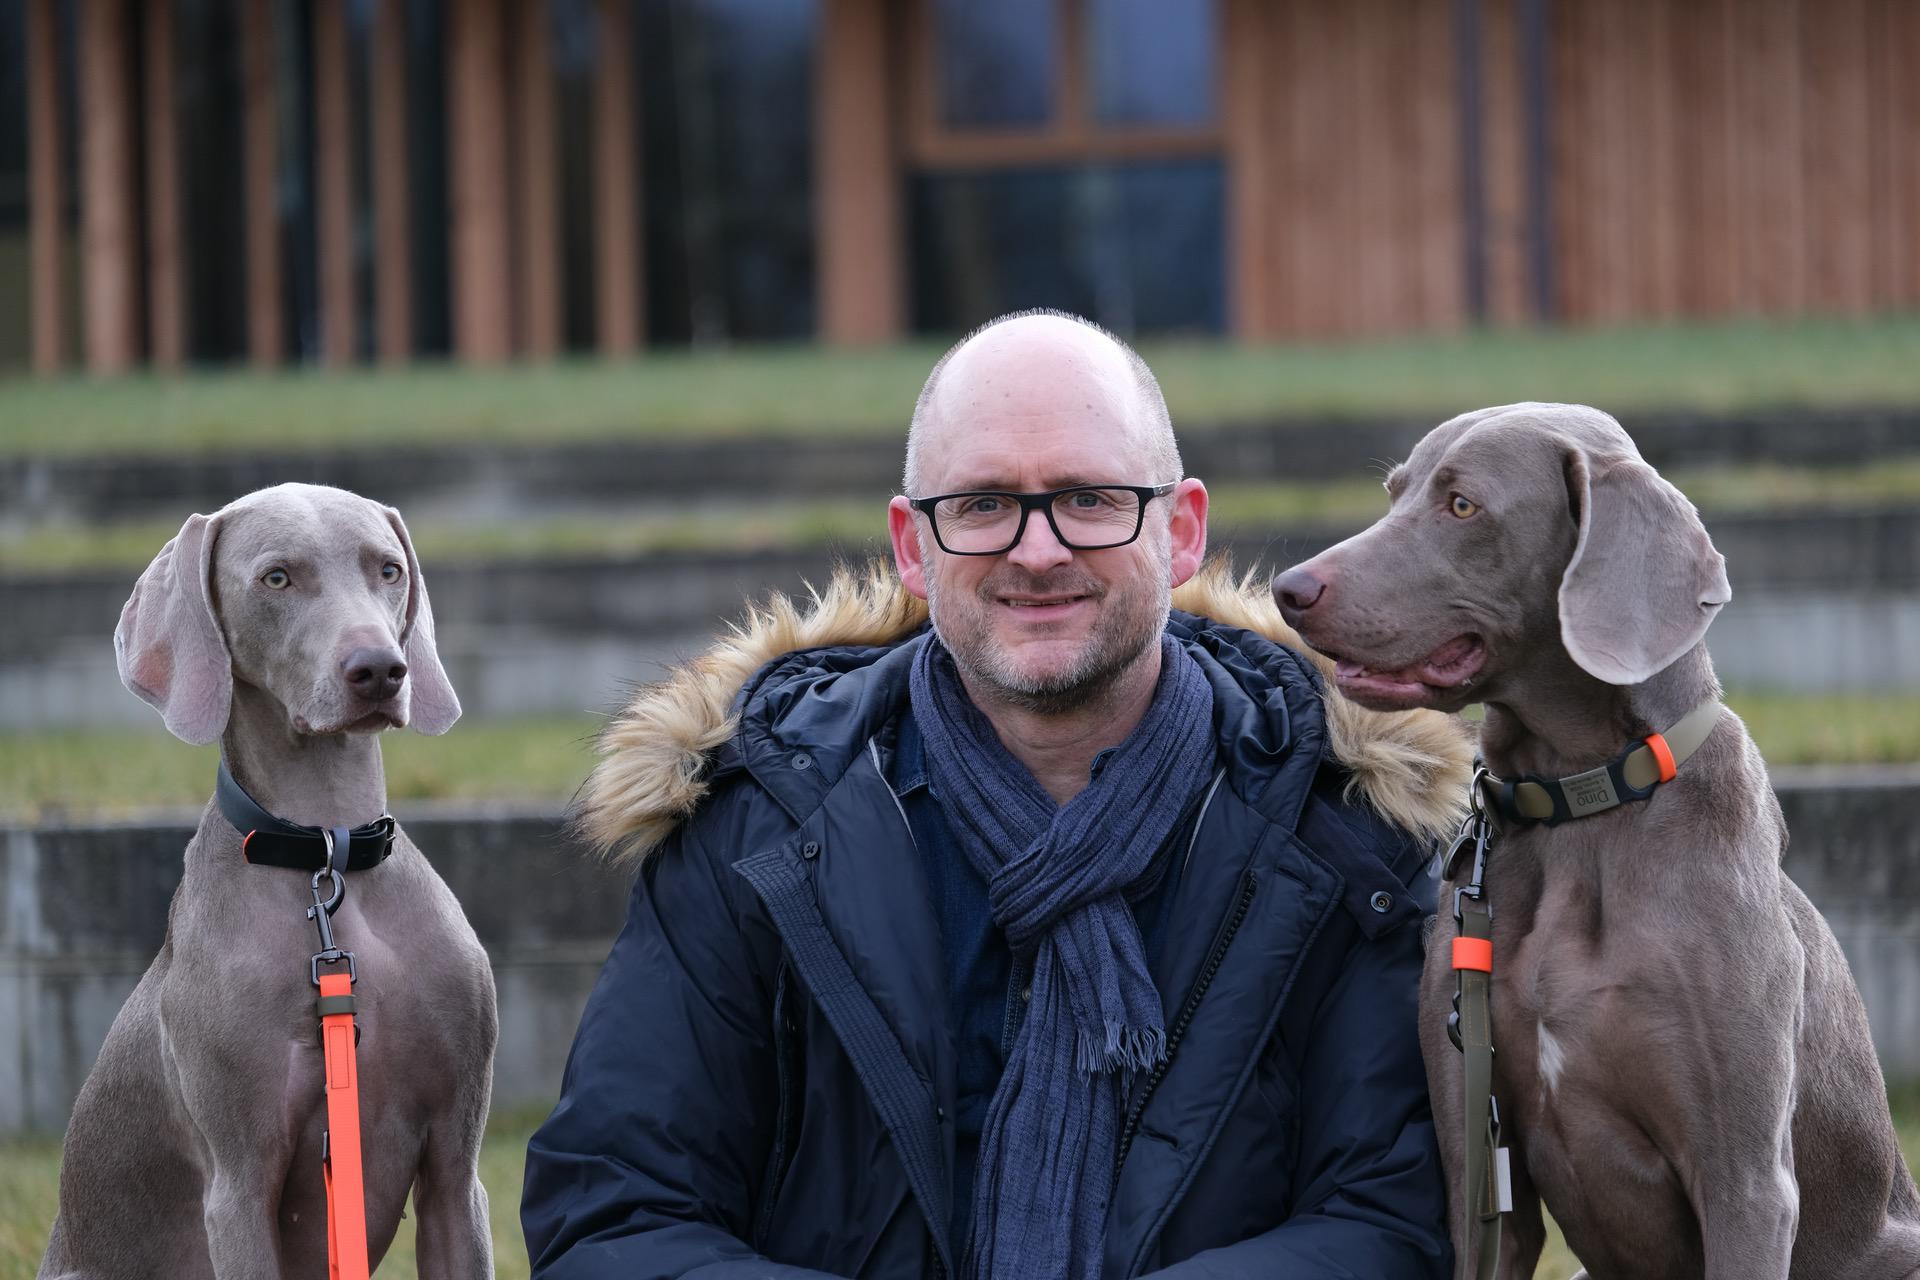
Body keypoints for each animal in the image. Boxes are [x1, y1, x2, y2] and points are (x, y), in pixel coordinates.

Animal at [43, 483, 503, 1280]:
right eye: (277, 578)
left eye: (388, 569)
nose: (380, 669)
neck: (326, 853)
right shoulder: (239, 1185)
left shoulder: (455, 1166)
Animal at [1267, 404, 1912, 1280]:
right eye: (1394, 493)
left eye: (1463, 505)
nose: (1290, 589)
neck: (1578, 805)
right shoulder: (1476, 1162)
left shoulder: (1747, 1180)